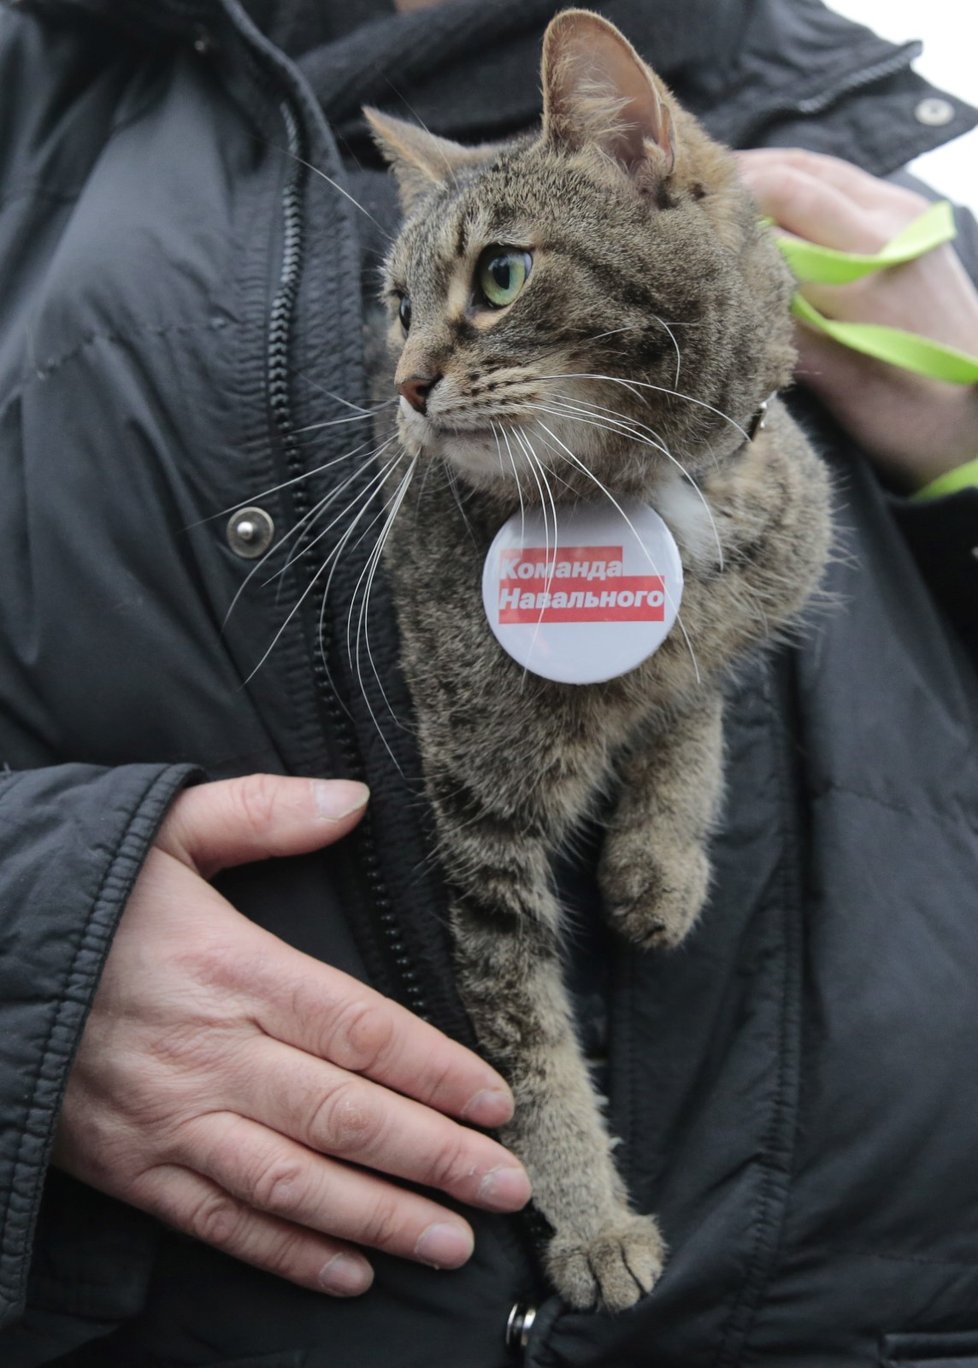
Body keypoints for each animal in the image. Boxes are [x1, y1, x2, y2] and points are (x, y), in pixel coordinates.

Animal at [363, 10, 831, 1313]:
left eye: (502, 276)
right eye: (395, 305)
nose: (405, 386)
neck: (647, 500)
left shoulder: (754, 593)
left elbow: (695, 704)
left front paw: (657, 860)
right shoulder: (477, 818)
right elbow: (525, 1040)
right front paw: (590, 1221)